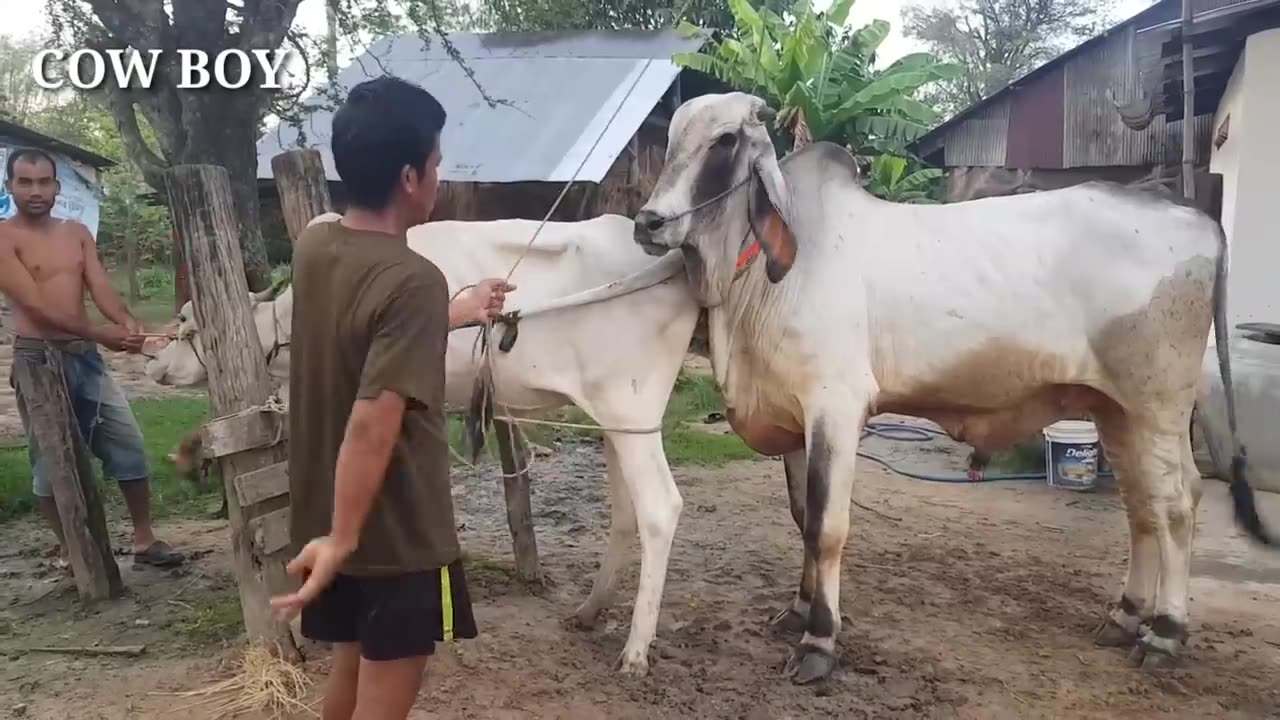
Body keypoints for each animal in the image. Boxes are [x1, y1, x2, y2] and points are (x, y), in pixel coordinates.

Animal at [148, 208, 701, 671]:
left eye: (187, 325)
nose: (153, 363)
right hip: (615, 421)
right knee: (626, 511)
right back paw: (589, 610)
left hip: (630, 405)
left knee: (659, 508)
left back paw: (635, 650)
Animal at [632, 92, 1269, 681]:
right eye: (673, 138)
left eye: (724, 141)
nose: (648, 222)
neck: (763, 279)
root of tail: (1198, 220)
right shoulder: (793, 416)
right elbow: (801, 517)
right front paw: (798, 610)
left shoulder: (835, 409)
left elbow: (825, 527)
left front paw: (819, 640)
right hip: (1116, 410)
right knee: (1143, 506)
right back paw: (1125, 616)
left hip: (1158, 405)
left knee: (1177, 504)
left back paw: (1165, 633)